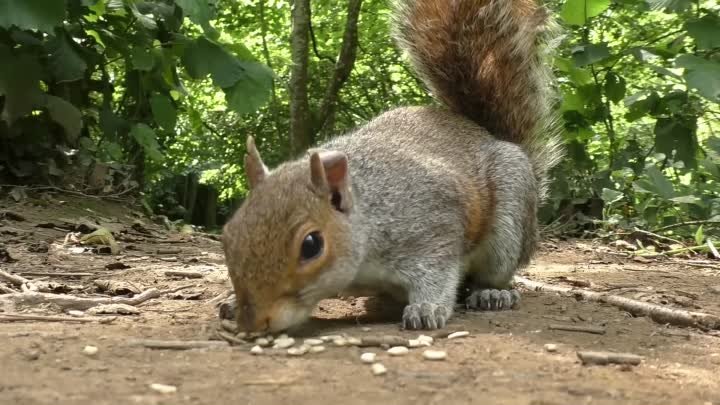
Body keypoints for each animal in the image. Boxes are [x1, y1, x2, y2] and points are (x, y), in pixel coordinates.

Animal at [219, 0, 564, 332]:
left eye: (311, 245)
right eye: (228, 233)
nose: (253, 322)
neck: (369, 216)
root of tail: (484, 132)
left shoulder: (431, 228)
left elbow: (438, 274)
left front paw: (427, 309)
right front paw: (232, 303)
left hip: (509, 220)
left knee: (495, 272)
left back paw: (492, 293)